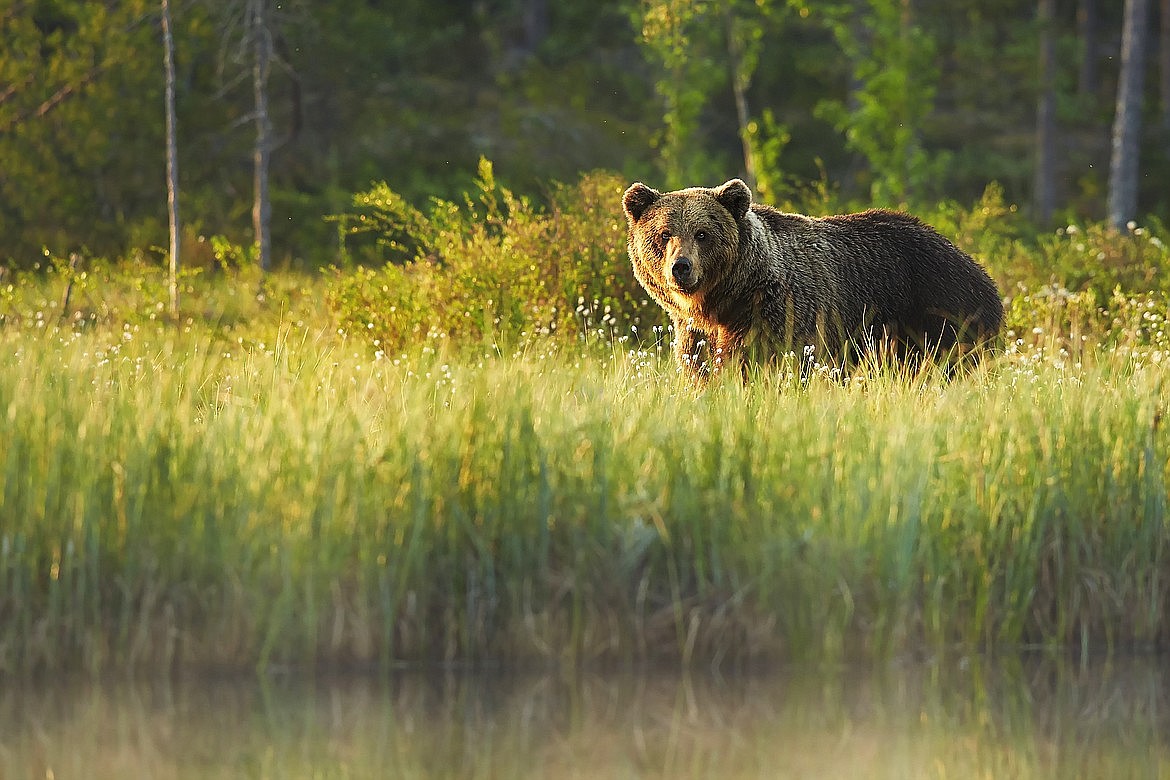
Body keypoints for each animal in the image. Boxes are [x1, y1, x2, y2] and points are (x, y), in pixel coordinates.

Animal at [622, 177, 1006, 383]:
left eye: (702, 233)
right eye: (664, 233)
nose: (681, 267)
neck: (729, 299)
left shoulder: (782, 315)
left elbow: (770, 363)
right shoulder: (696, 332)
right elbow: (700, 368)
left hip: (939, 312)